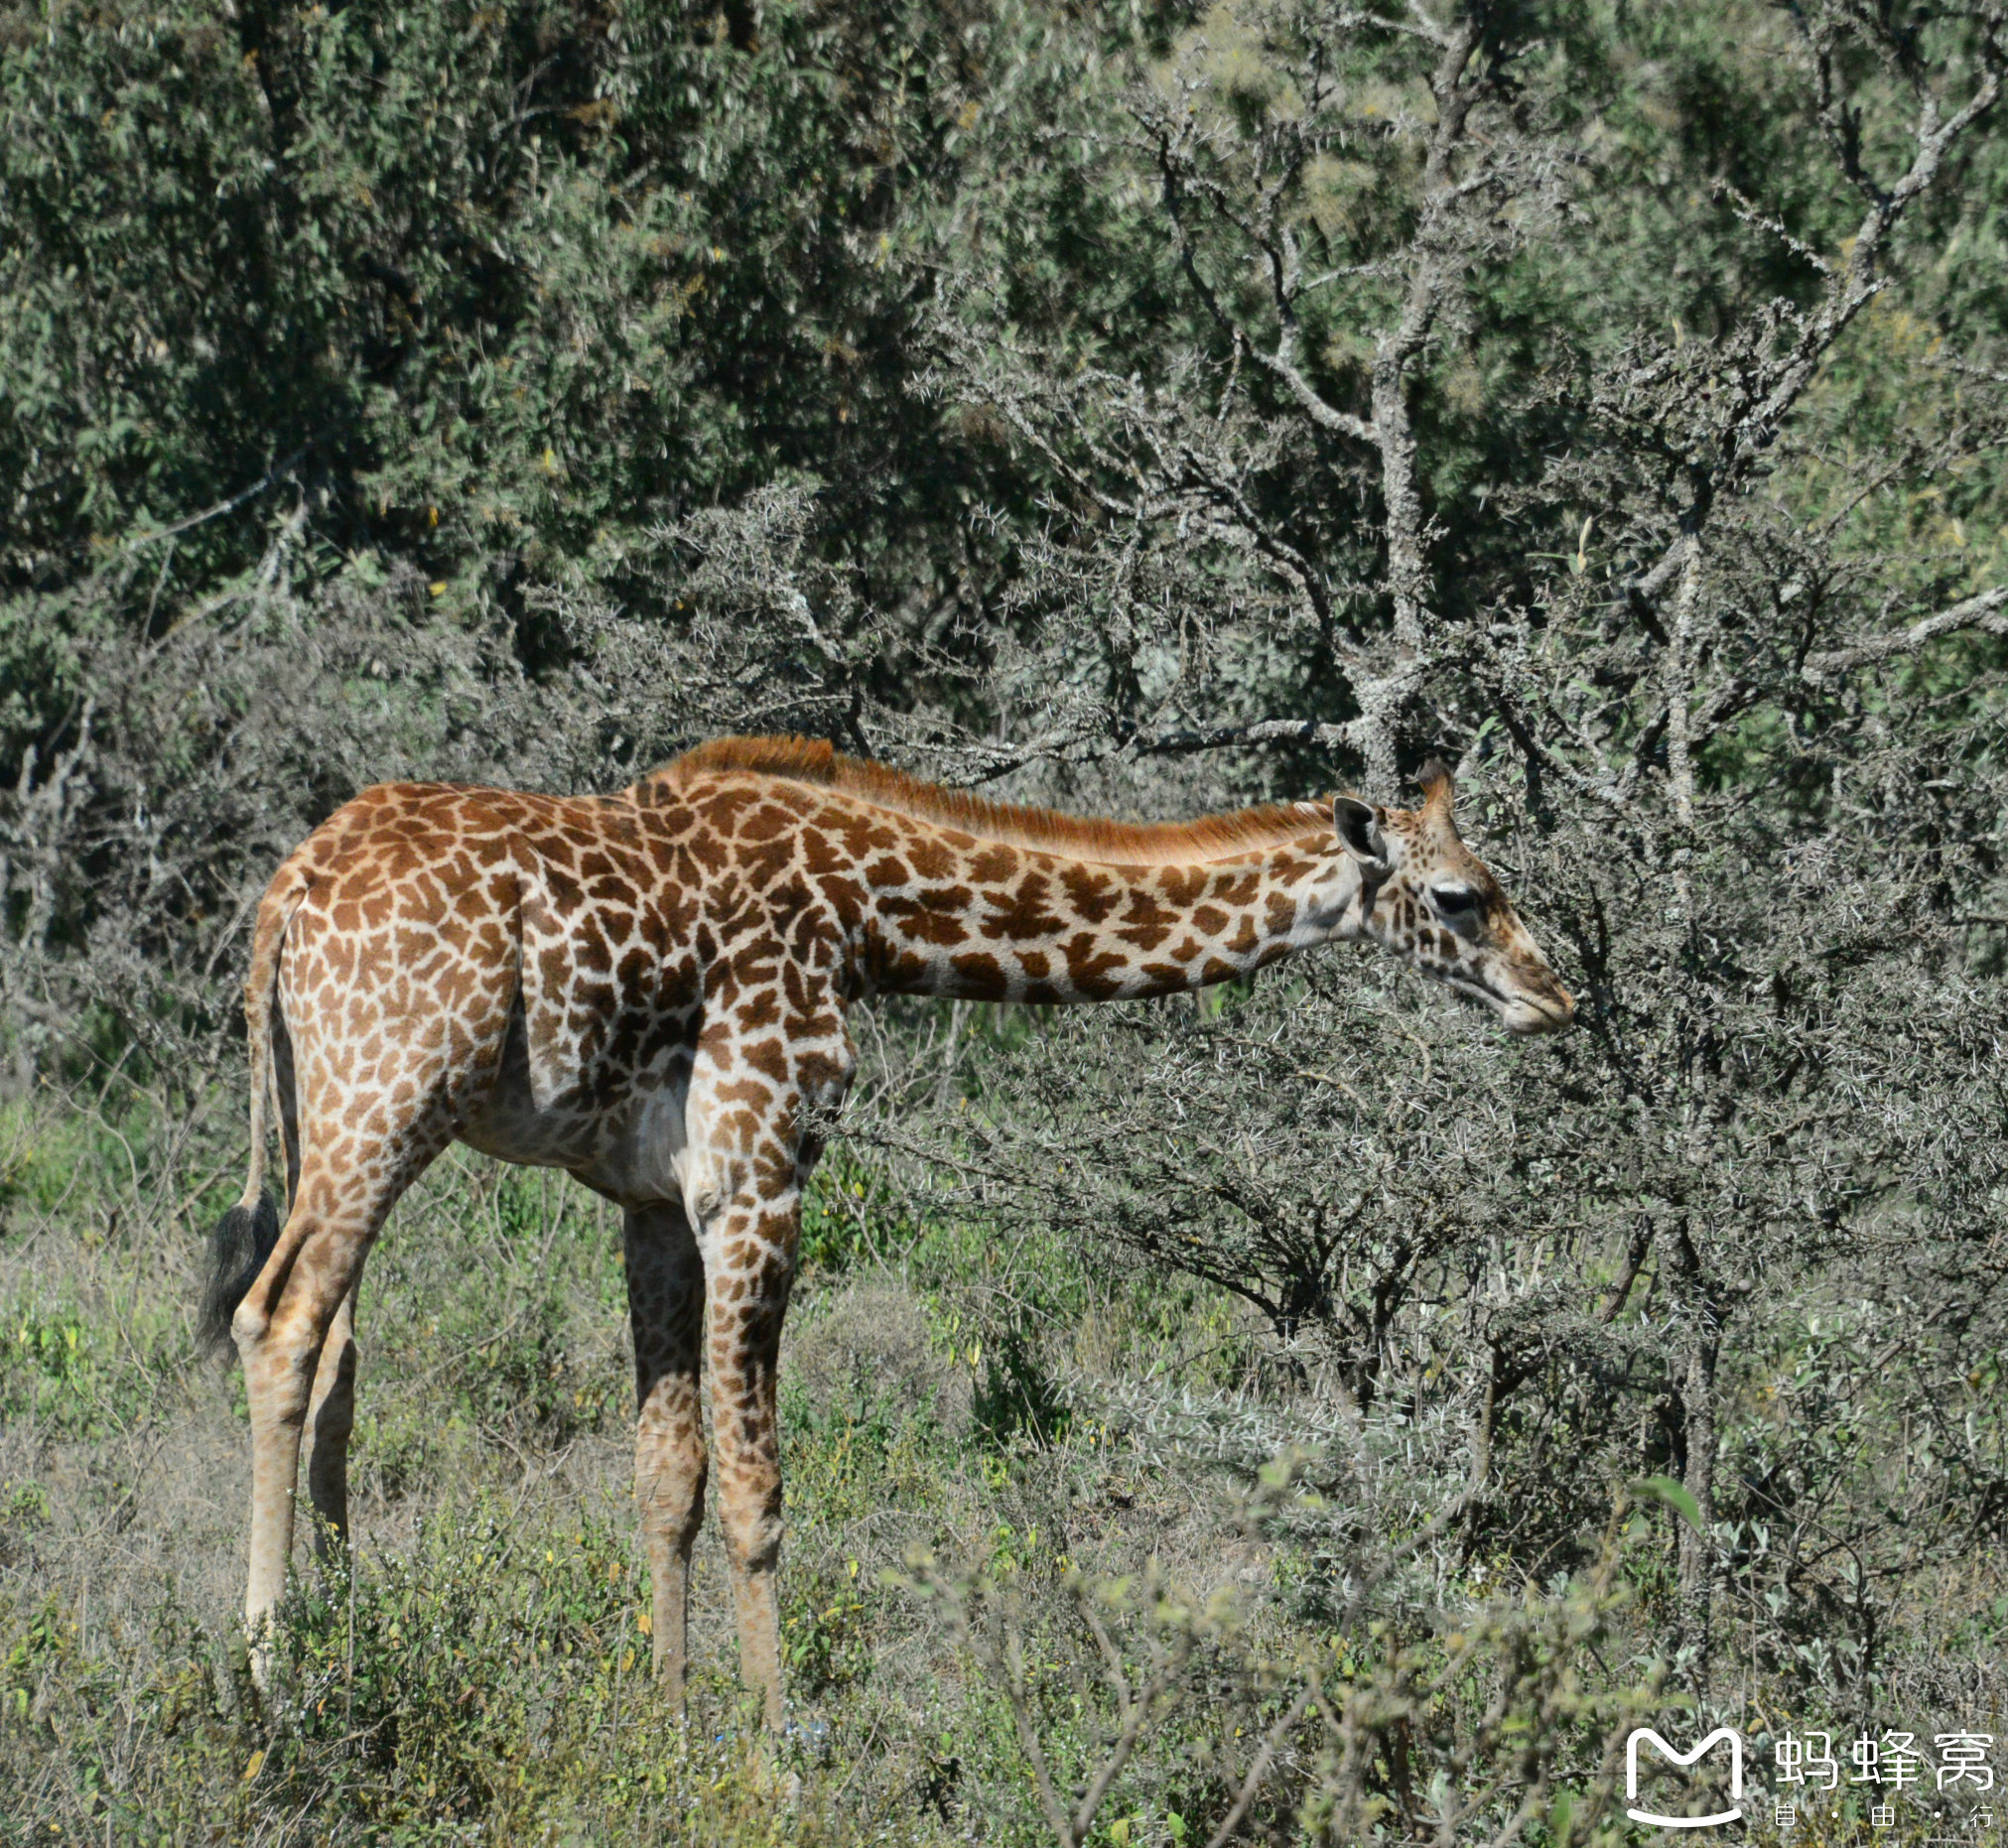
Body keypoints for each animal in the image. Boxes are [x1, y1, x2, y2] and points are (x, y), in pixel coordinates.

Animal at [203, 726, 1574, 1727]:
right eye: (1461, 896)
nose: (1554, 997)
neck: (866, 912)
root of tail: (284, 895)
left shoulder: (656, 1199)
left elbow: (668, 1472)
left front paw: (669, 1719)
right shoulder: (759, 1169)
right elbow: (757, 1485)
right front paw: (774, 1758)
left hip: (338, 1111)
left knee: (335, 1348)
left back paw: (350, 1630)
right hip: (389, 1100)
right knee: (279, 1322)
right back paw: (275, 1675)